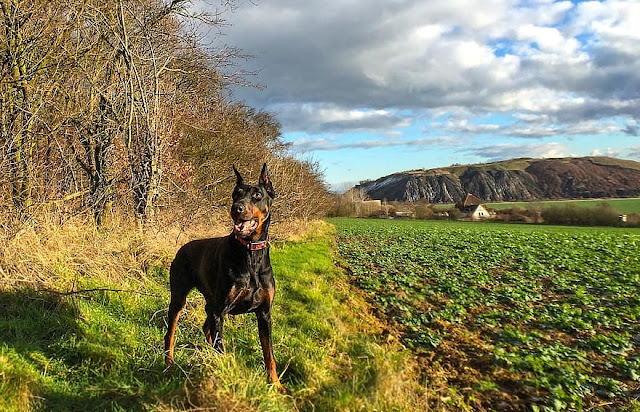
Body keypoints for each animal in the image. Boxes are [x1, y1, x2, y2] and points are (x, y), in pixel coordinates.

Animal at [164, 163, 286, 392]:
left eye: (257, 195)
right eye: (235, 194)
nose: (236, 208)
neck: (250, 253)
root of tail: (182, 248)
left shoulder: (265, 313)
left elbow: (270, 355)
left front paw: (276, 385)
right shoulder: (221, 311)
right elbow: (219, 345)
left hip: (211, 303)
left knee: (207, 327)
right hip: (179, 298)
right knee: (171, 332)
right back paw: (169, 363)